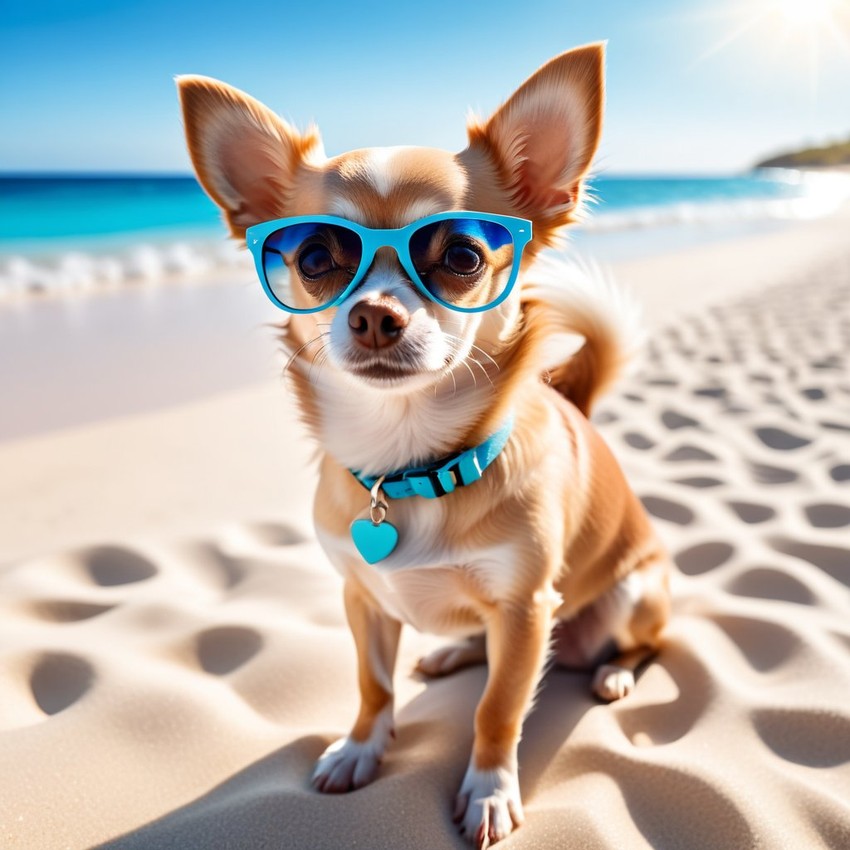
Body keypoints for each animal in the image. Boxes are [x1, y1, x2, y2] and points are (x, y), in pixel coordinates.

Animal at [179, 43, 668, 844]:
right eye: (314, 258)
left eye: (464, 256)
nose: (376, 316)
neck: (408, 465)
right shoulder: (362, 596)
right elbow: (371, 685)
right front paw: (359, 748)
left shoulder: (525, 608)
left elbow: (498, 708)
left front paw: (490, 790)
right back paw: (451, 652)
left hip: (632, 590)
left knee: (642, 640)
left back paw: (616, 671)